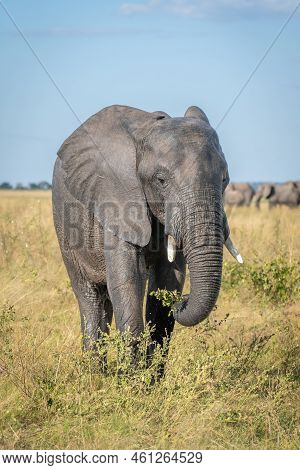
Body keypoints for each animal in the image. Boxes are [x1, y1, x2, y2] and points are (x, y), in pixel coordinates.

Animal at [52, 104, 243, 370]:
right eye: (161, 180)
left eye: (224, 179)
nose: (182, 302)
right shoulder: (115, 198)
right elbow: (129, 278)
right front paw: (131, 379)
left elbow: (169, 278)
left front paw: (149, 377)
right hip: (65, 232)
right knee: (90, 297)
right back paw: (94, 374)